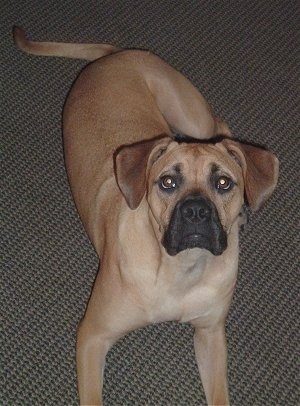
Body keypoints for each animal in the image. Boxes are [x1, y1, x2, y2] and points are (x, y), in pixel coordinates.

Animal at [13, 27, 278, 404]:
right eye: (167, 182)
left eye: (224, 182)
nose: (195, 211)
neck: (180, 269)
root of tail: (113, 56)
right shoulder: (92, 336)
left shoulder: (210, 334)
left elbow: (220, 395)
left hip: (189, 113)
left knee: (223, 130)